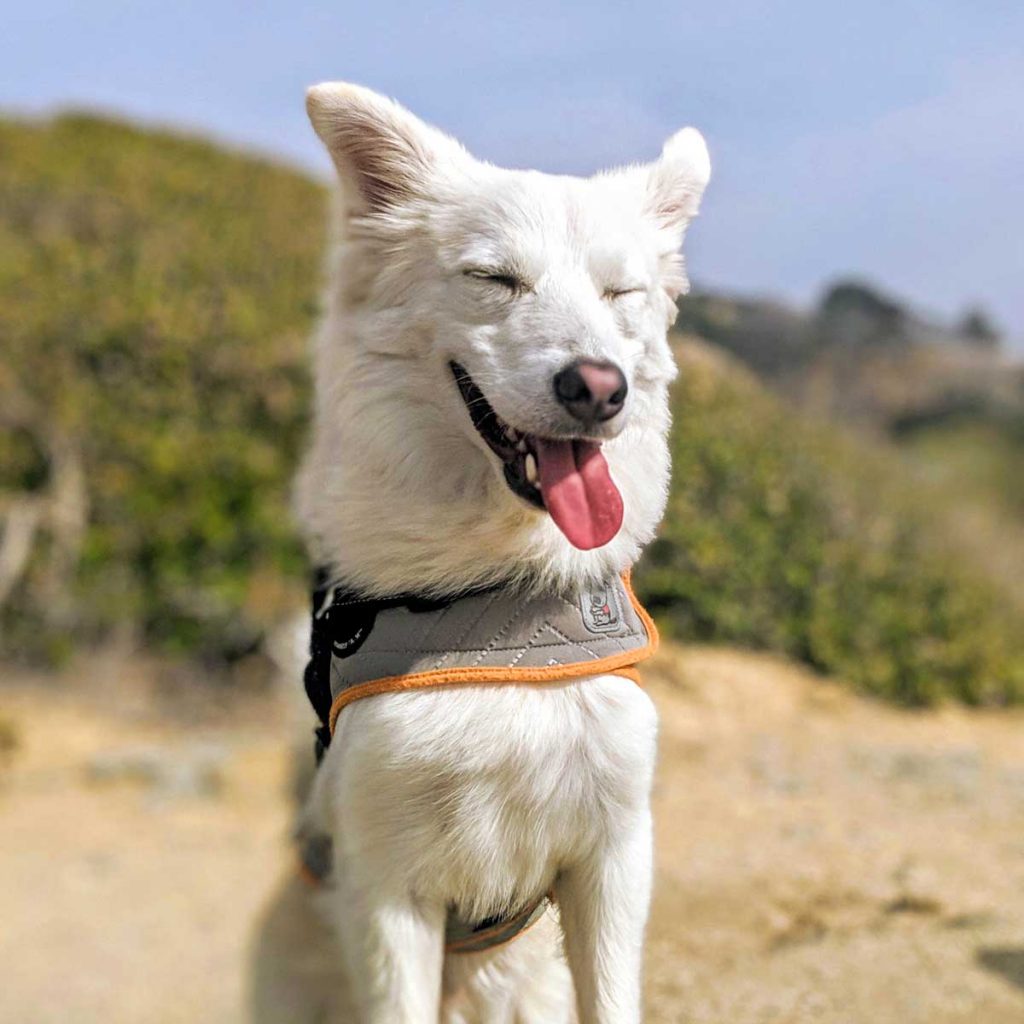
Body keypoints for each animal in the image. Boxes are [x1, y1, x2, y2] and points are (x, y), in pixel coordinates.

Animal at [251, 81, 708, 1024]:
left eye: (622, 292)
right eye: (494, 279)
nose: (598, 387)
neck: (492, 603)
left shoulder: (613, 856)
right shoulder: (384, 883)